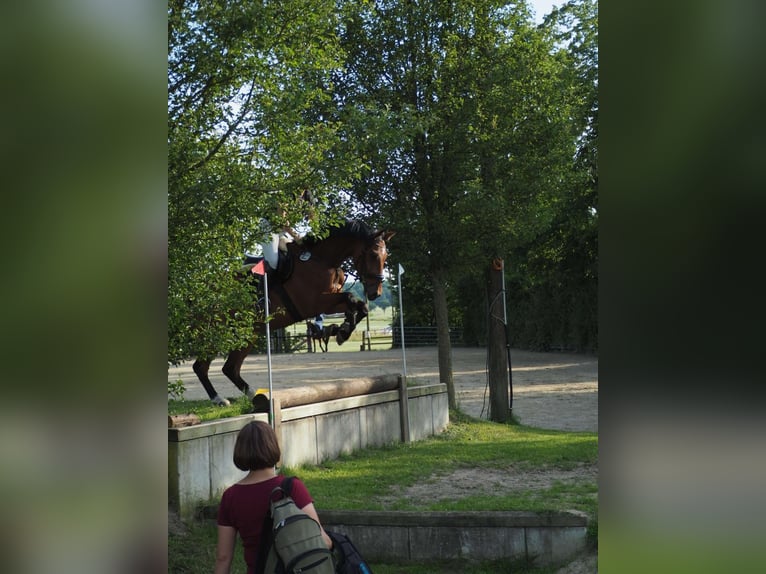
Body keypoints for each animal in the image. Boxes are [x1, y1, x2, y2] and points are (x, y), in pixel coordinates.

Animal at [192, 219, 395, 405]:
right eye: (373, 255)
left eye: (386, 256)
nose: (375, 293)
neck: (322, 260)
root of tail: (201, 290)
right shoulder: (314, 303)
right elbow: (351, 299)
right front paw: (341, 331)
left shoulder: (328, 302)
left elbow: (359, 307)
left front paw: (339, 330)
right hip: (218, 332)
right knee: (201, 366)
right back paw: (219, 399)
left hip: (249, 332)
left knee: (230, 368)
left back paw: (254, 396)